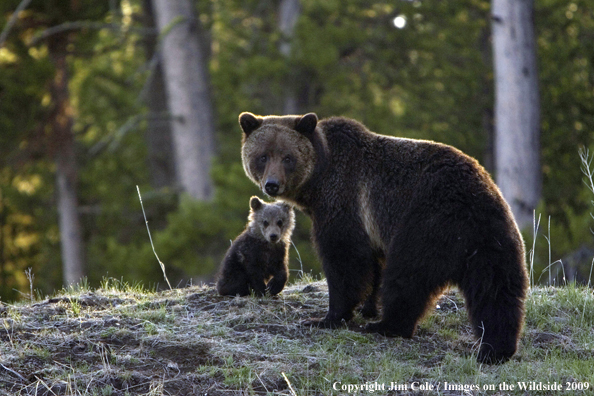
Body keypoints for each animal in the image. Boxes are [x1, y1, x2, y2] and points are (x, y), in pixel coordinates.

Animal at [240, 111, 528, 366]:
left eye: (288, 157)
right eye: (263, 156)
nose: (272, 184)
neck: (319, 180)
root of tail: (477, 197)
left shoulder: (345, 200)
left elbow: (344, 259)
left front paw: (329, 317)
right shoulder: (371, 227)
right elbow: (372, 264)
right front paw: (368, 307)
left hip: (427, 222)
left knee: (408, 275)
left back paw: (388, 326)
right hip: (494, 239)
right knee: (496, 291)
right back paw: (496, 349)